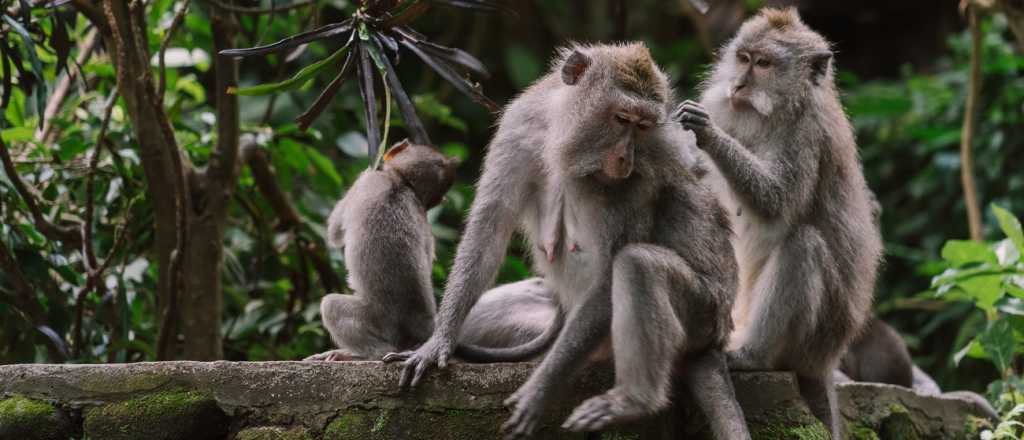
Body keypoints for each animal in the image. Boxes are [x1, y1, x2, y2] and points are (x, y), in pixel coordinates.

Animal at [303, 141, 456, 360]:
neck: (402, 182)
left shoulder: (367, 183)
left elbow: (334, 232)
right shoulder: (425, 223)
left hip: (377, 322)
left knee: (330, 305)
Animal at [385, 42, 753, 440]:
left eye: (643, 126)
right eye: (622, 118)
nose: (625, 158)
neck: (562, 135)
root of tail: (716, 339)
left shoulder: (640, 176)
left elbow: (609, 275)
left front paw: (539, 390)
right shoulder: (520, 126)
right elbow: (489, 229)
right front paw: (438, 341)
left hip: (704, 313)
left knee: (638, 265)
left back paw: (633, 400)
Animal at [675, 7, 884, 435]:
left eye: (764, 64)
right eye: (743, 58)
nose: (738, 85)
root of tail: (827, 361)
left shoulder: (807, 134)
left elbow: (776, 203)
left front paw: (709, 134)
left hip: (819, 338)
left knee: (803, 244)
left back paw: (754, 355)